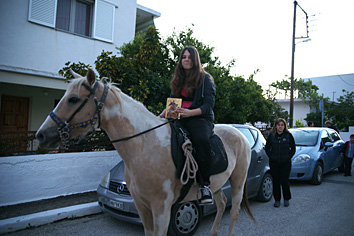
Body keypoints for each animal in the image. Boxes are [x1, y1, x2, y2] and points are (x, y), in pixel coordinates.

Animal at [36, 68, 254, 236]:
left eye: (73, 99)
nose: (41, 135)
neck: (144, 146)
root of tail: (242, 133)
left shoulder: (162, 209)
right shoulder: (142, 206)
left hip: (238, 181)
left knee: (233, 211)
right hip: (217, 184)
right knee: (221, 204)